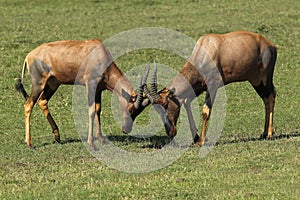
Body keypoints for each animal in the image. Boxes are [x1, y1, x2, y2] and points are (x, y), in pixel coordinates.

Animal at [15, 39, 147, 148]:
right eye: (131, 109)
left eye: (139, 112)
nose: (126, 130)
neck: (99, 54)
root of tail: (29, 56)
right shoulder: (90, 84)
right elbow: (91, 111)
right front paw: (91, 144)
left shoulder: (98, 90)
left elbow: (98, 109)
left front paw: (101, 139)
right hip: (38, 84)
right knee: (28, 105)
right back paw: (29, 143)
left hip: (53, 83)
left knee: (42, 100)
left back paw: (57, 136)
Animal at [144, 30, 278, 145]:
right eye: (156, 109)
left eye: (166, 105)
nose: (170, 132)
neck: (205, 49)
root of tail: (270, 45)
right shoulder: (199, 87)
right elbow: (187, 102)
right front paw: (196, 138)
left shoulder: (213, 85)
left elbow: (205, 110)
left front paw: (201, 141)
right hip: (255, 81)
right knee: (266, 99)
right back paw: (264, 133)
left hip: (264, 78)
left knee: (271, 96)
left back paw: (269, 134)